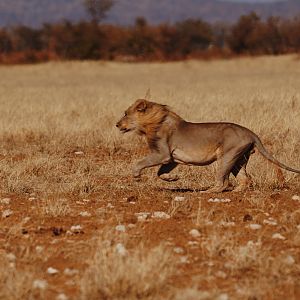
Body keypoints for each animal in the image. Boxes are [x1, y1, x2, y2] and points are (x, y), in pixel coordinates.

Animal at [116, 99, 300, 192]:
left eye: (125, 113)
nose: (117, 125)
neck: (152, 123)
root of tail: (250, 133)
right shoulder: (171, 159)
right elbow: (160, 172)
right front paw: (173, 178)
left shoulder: (163, 154)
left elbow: (140, 162)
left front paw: (136, 176)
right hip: (238, 159)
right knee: (246, 179)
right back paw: (236, 192)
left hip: (226, 157)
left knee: (223, 183)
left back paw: (207, 192)